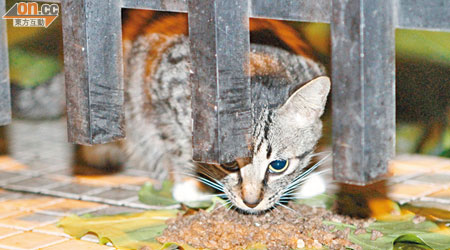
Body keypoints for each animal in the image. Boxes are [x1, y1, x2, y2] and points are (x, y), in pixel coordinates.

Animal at [79, 10, 328, 213]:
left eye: (278, 165)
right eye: (228, 163)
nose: (251, 202)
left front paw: (306, 181)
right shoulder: (161, 93)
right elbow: (175, 143)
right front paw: (190, 184)